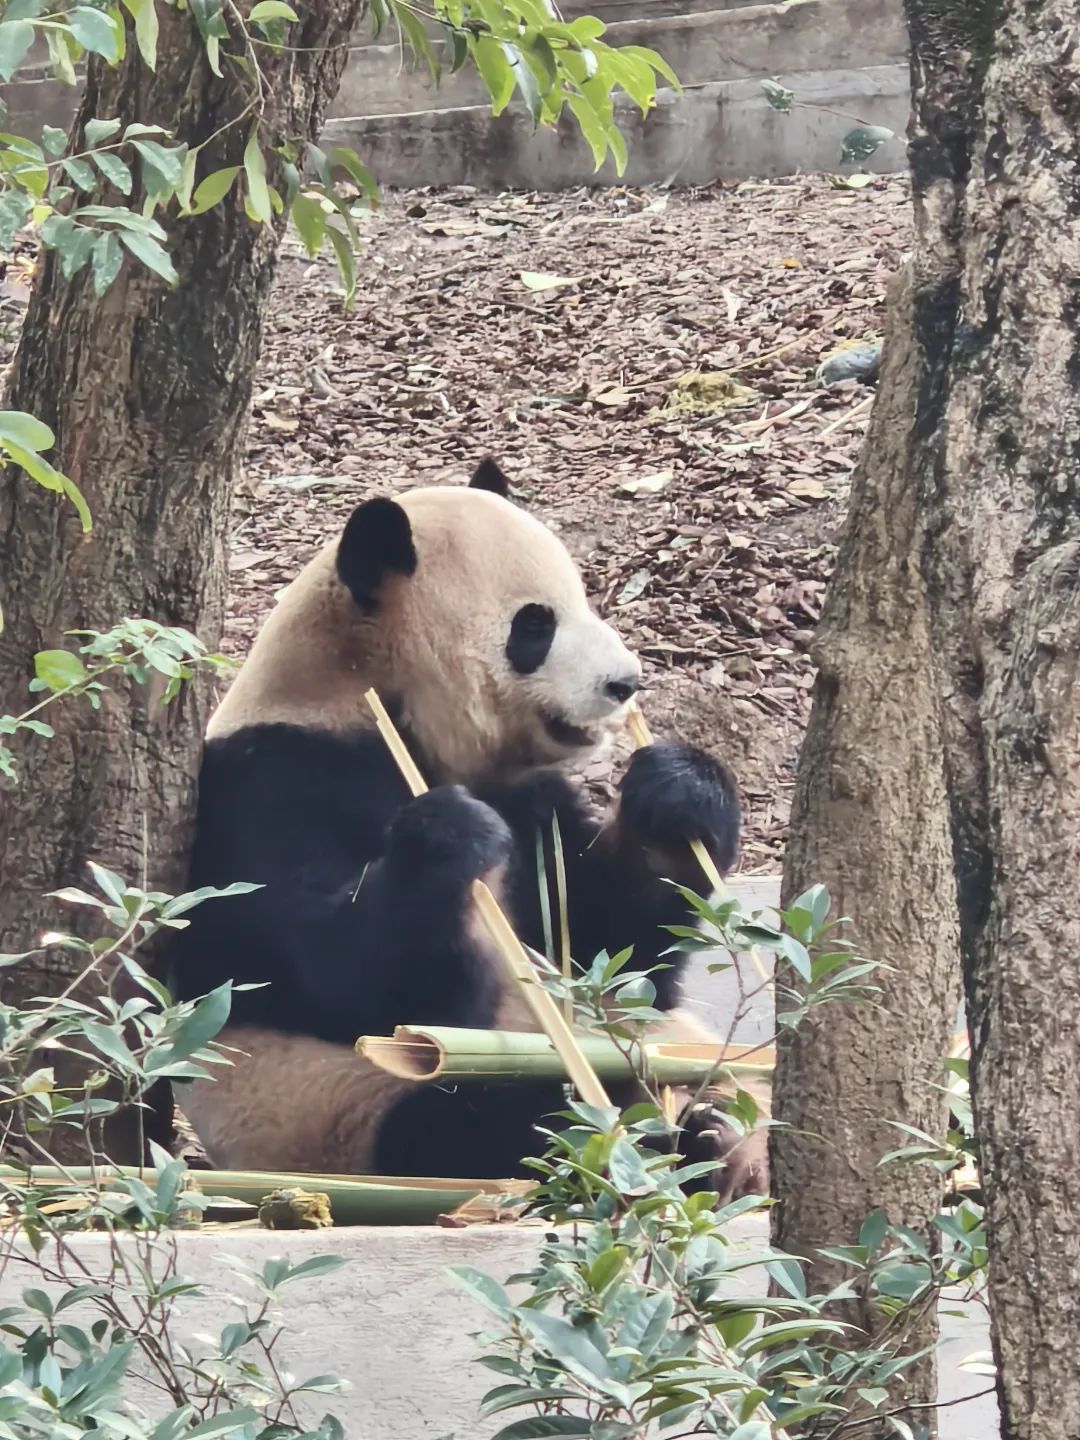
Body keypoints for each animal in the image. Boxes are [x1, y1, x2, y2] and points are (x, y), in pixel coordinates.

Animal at [171, 463, 771, 1203]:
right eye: (535, 626)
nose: (624, 683)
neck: (361, 693)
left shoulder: (533, 799)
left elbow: (611, 950)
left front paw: (679, 791)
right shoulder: (272, 783)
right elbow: (354, 983)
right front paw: (450, 837)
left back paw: (718, 1134)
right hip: (342, 1117)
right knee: (496, 1125)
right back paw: (683, 1145)